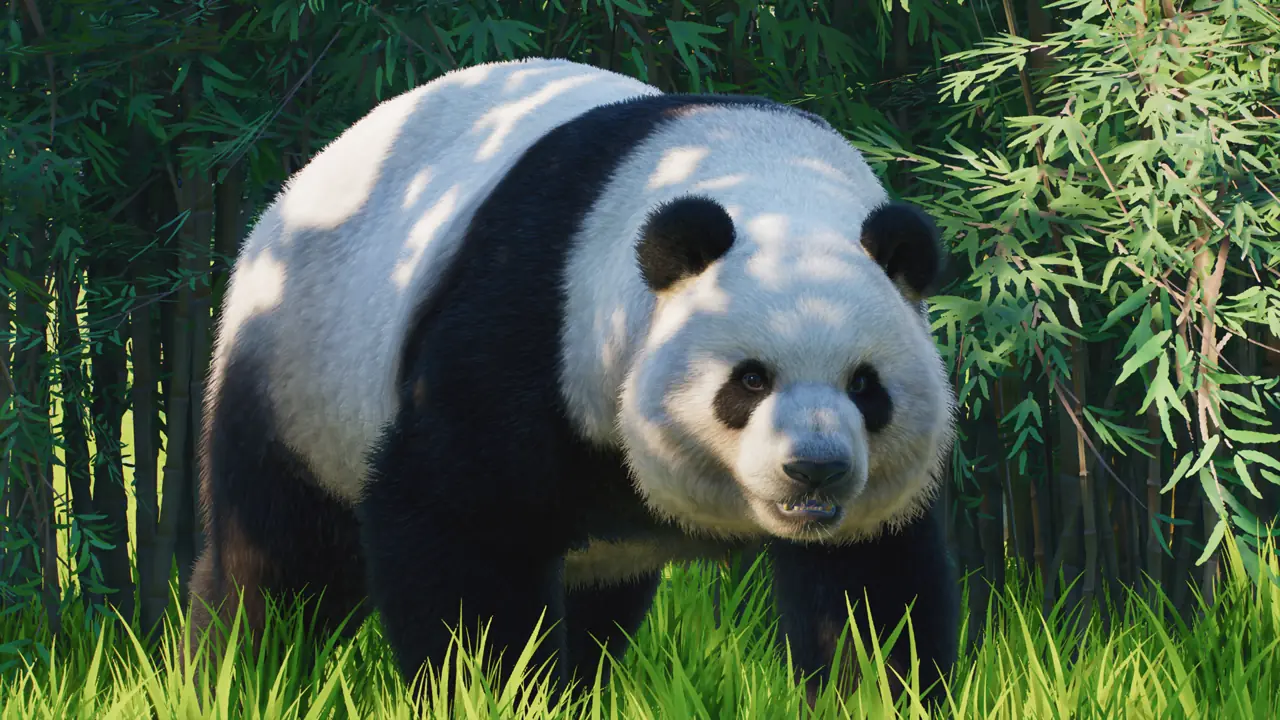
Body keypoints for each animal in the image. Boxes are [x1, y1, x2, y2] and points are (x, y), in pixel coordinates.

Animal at [187, 57, 959, 703]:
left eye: (866, 386)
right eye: (748, 380)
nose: (815, 470)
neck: (773, 183)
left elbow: (870, 591)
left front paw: (880, 692)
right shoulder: (532, 320)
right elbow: (457, 522)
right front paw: (490, 691)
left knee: (599, 606)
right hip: (300, 372)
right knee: (278, 559)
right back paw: (237, 673)